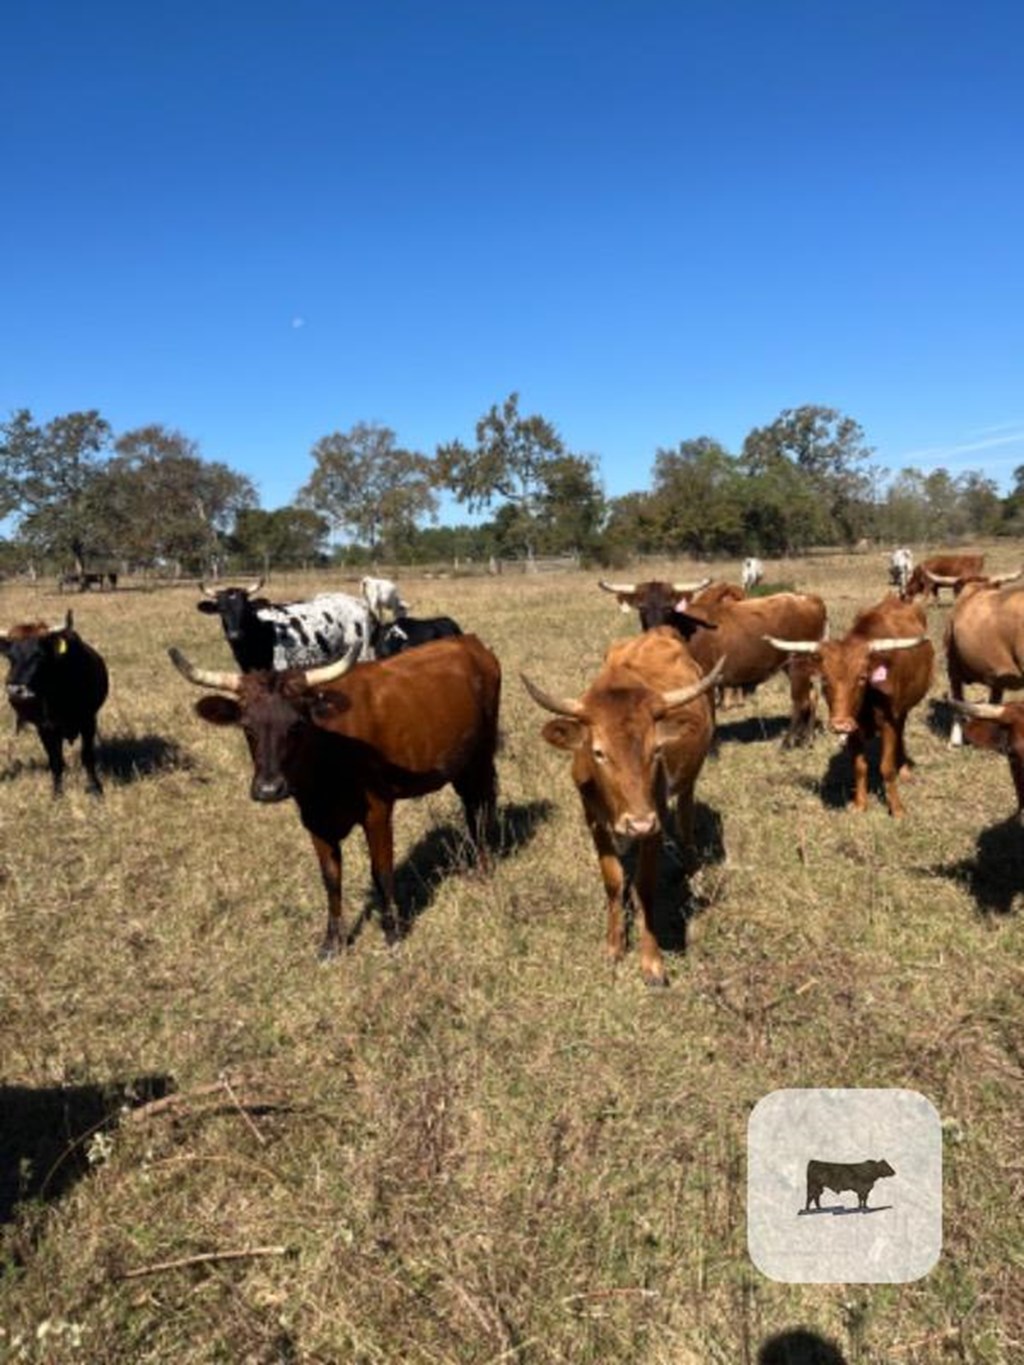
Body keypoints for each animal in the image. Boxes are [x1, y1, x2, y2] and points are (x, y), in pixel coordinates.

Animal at [168, 633, 502, 955]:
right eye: (247, 727)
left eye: (297, 725)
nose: (269, 789)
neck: (327, 757)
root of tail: (469, 641)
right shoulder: (315, 819)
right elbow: (331, 878)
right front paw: (332, 942)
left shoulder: (378, 809)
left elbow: (381, 872)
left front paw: (392, 933)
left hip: (481, 756)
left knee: (480, 807)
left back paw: (483, 871)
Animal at [524, 625, 726, 988]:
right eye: (598, 752)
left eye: (656, 750)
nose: (638, 824)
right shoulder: (593, 820)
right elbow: (613, 880)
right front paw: (614, 946)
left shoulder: (654, 820)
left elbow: (645, 886)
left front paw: (651, 962)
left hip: (689, 780)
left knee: (686, 817)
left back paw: (691, 868)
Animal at [770, 595, 939, 808]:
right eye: (825, 679)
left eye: (862, 678)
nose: (840, 724)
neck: (869, 701)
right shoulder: (855, 729)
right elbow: (859, 766)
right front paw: (860, 805)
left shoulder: (889, 722)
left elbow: (887, 767)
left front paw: (897, 808)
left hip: (903, 710)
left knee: (901, 732)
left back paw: (904, 769)